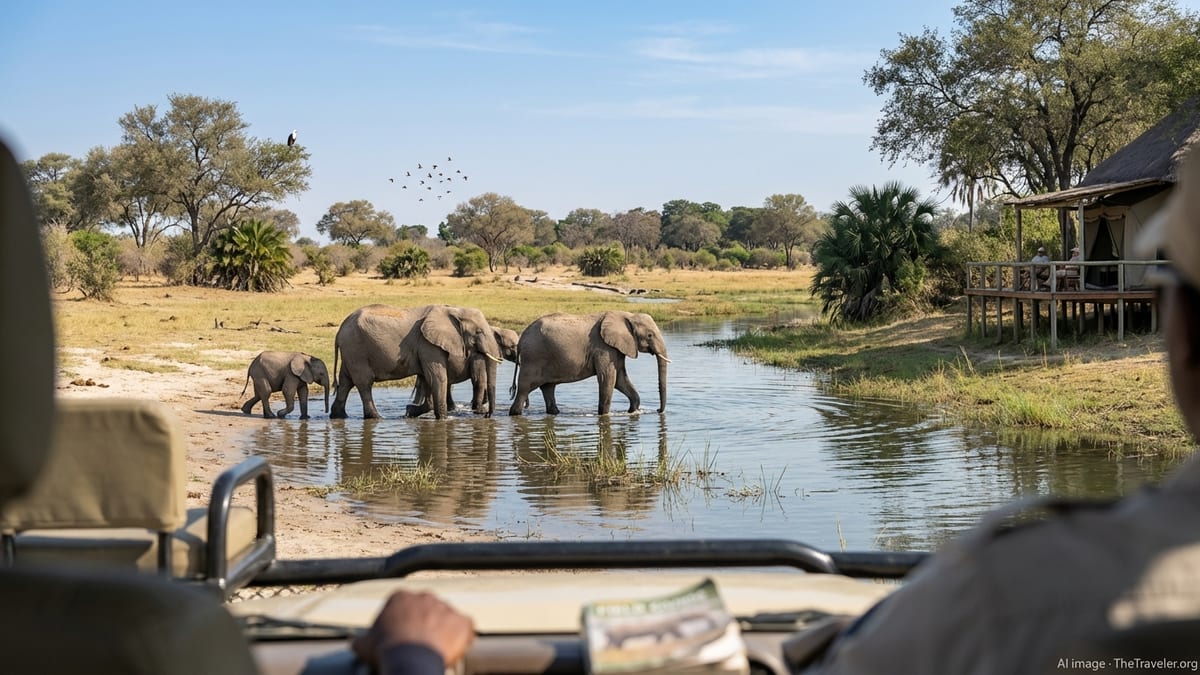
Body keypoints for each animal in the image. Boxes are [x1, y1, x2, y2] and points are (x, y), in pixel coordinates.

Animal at [329, 304, 504, 420]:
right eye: (479, 332)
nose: (486, 415)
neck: (454, 310)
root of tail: (339, 331)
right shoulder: (429, 345)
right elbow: (438, 378)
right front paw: (443, 419)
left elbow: (427, 378)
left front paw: (409, 412)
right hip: (356, 349)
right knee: (364, 383)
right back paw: (376, 417)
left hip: (351, 352)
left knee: (346, 382)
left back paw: (338, 416)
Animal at [508, 311, 669, 416]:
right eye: (650, 335)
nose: (658, 410)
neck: (627, 315)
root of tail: (521, 338)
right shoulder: (603, 348)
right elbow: (608, 378)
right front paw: (604, 415)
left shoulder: (615, 348)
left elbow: (620, 379)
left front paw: (632, 411)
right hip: (533, 358)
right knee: (524, 389)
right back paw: (515, 413)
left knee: (548, 388)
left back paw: (554, 413)